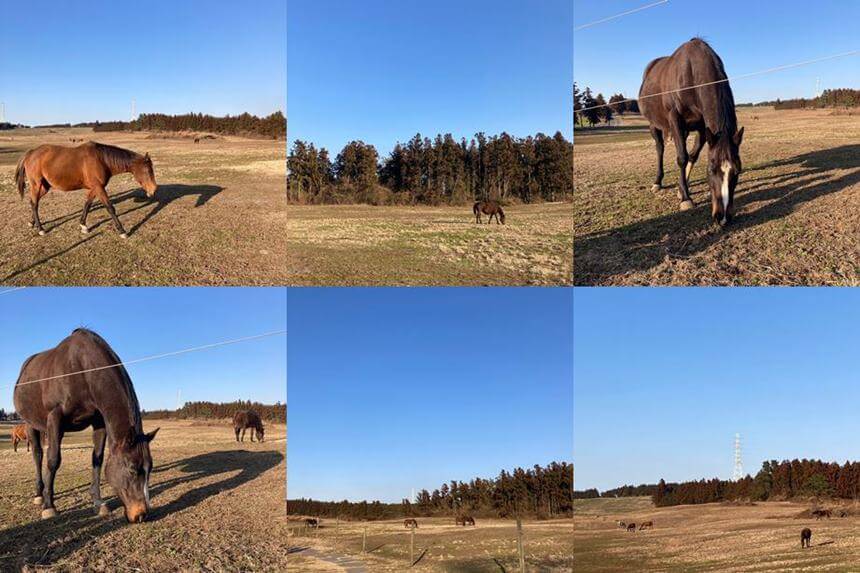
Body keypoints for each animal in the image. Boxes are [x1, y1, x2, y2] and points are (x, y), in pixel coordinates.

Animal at [12, 328, 159, 520]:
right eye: (132, 469)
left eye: (150, 469)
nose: (141, 515)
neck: (81, 371)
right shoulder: (55, 418)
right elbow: (53, 460)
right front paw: (49, 506)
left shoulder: (99, 422)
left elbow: (97, 459)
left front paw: (98, 502)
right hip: (31, 424)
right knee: (38, 455)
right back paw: (39, 495)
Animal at [14, 142, 160, 238]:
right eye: (148, 171)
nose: (153, 190)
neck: (102, 159)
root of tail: (30, 153)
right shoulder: (99, 188)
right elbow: (110, 207)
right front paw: (122, 231)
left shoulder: (94, 188)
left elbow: (87, 204)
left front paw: (83, 225)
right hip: (36, 185)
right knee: (35, 204)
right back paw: (41, 229)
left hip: (44, 187)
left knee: (33, 202)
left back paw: (32, 223)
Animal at [640, 37, 744, 226]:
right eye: (710, 170)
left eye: (737, 171)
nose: (723, 217)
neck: (691, 75)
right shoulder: (675, 120)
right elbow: (682, 157)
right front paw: (685, 198)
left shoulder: (703, 128)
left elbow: (692, 155)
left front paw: (681, 190)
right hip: (654, 124)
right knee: (659, 149)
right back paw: (658, 182)